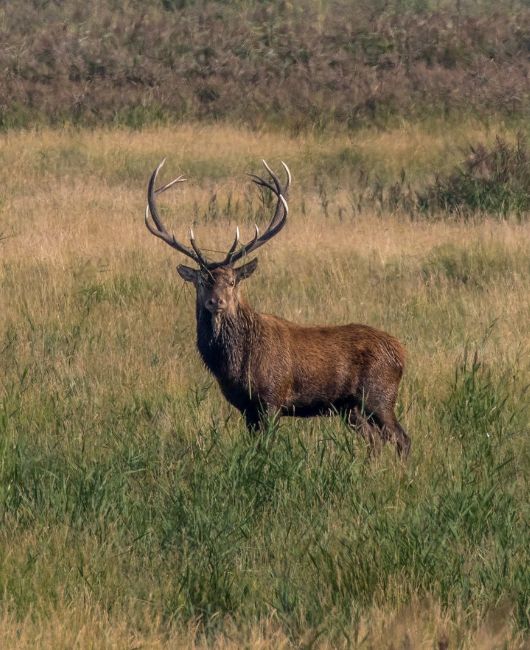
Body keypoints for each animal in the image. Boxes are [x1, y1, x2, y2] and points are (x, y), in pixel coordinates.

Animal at [145, 159, 412, 458]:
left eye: (232, 281)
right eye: (202, 281)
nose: (216, 302)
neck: (234, 365)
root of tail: (402, 352)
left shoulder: (273, 398)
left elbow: (266, 447)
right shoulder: (246, 407)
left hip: (380, 395)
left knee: (401, 438)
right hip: (350, 408)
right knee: (375, 441)